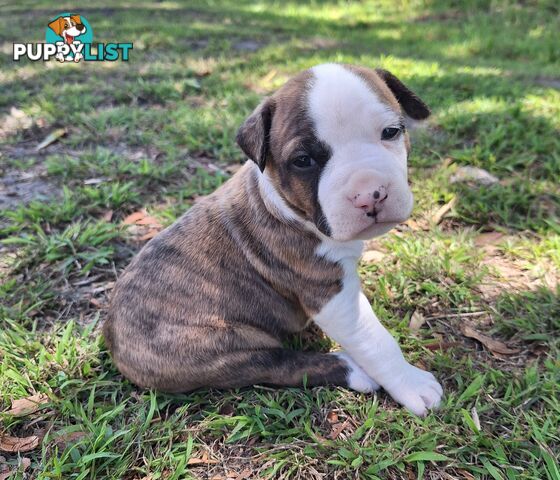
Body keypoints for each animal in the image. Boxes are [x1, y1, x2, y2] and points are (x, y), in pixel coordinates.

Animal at [105, 63, 444, 416]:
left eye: (390, 132)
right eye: (303, 160)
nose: (370, 195)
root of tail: (112, 337)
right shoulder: (330, 294)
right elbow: (375, 339)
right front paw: (412, 385)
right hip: (217, 348)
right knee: (278, 364)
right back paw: (350, 369)